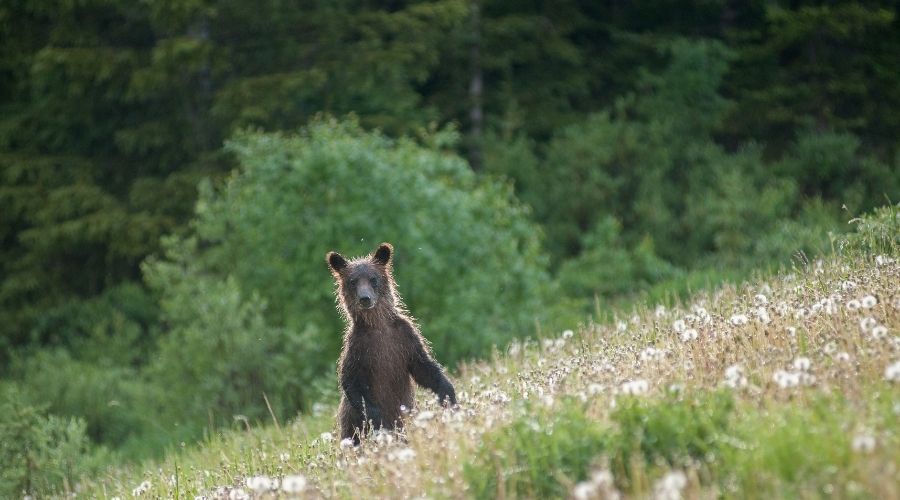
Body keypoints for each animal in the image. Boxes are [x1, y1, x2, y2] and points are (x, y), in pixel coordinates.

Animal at [326, 242, 458, 442]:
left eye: (373, 278)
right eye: (353, 281)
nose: (365, 298)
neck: (378, 325)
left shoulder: (404, 338)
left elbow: (424, 367)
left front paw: (448, 395)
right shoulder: (359, 348)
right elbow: (352, 383)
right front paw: (380, 421)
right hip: (350, 426)